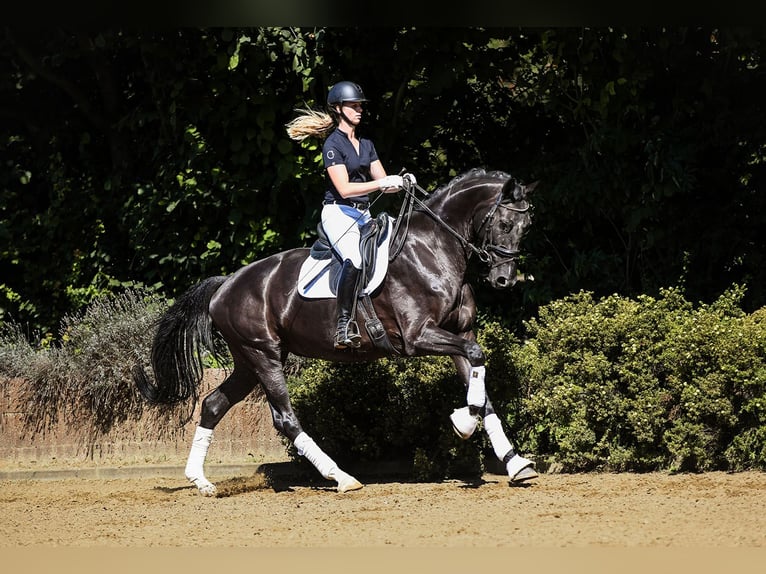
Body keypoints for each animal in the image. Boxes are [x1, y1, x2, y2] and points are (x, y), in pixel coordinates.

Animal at [134, 169, 540, 498]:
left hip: (250, 361)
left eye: (526, 228)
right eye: (505, 225)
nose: (503, 280)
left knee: (213, 404)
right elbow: (477, 360)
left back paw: (201, 482)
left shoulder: (458, 333)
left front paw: (515, 463)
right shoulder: (418, 336)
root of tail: (225, 284)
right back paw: (341, 477)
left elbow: (481, 386)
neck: (433, 249)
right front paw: (463, 422)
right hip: (263, 356)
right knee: (284, 418)